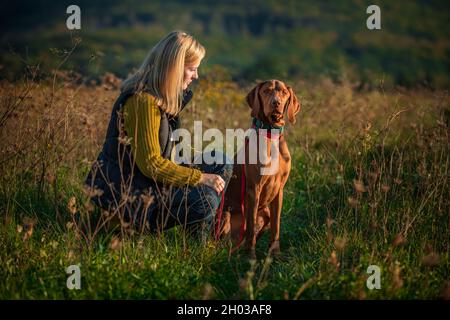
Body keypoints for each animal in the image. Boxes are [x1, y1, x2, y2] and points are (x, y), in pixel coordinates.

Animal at [219, 79, 300, 258]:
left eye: (284, 92)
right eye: (266, 91)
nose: (276, 103)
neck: (271, 133)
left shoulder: (279, 190)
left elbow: (276, 226)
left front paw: (275, 253)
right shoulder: (253, 188)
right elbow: (250, 229)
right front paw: (251, 257)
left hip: (265, 213)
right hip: (225, 214)